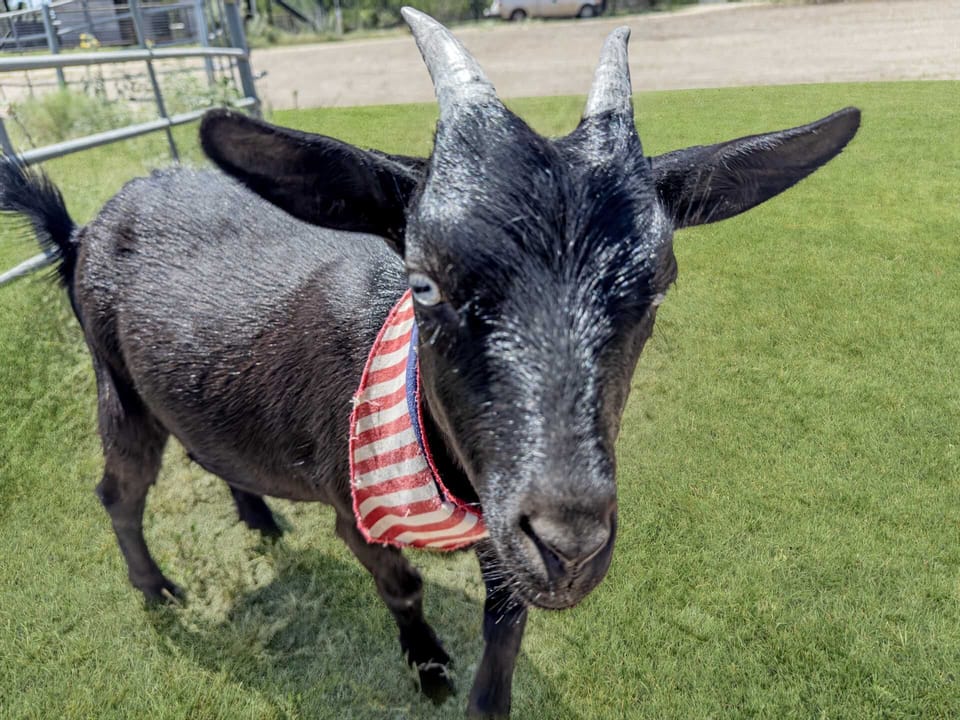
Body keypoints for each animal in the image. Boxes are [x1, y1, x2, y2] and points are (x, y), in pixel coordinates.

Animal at [0, 9, 860, 717]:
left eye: (659, 285)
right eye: (423, 280)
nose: (571, 547)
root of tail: (81, 231)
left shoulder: (496, 512)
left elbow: (506, 619)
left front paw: (486, 699)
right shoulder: (356, 505)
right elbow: (403, 586)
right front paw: (429, 669)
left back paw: (259, 517)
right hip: (117, 385)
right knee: (120, 489)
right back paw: (156, 589)